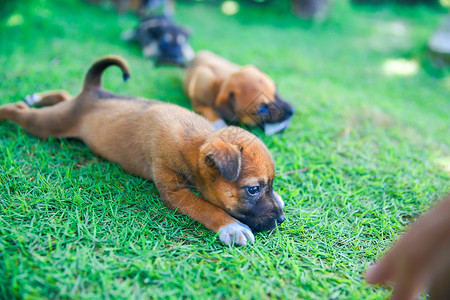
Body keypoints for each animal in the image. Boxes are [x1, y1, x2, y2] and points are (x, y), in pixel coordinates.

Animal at [0, 55, 284, 246]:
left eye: (268, 186)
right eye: (253, 189)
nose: (281, 220)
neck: (195, 142)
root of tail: (93, 91)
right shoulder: (175, 193)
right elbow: (206, 207)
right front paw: (231, 227)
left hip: (68, 109)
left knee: (63, 95)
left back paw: (36, 97)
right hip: (49, 124)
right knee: (20, 111)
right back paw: (11, 109)